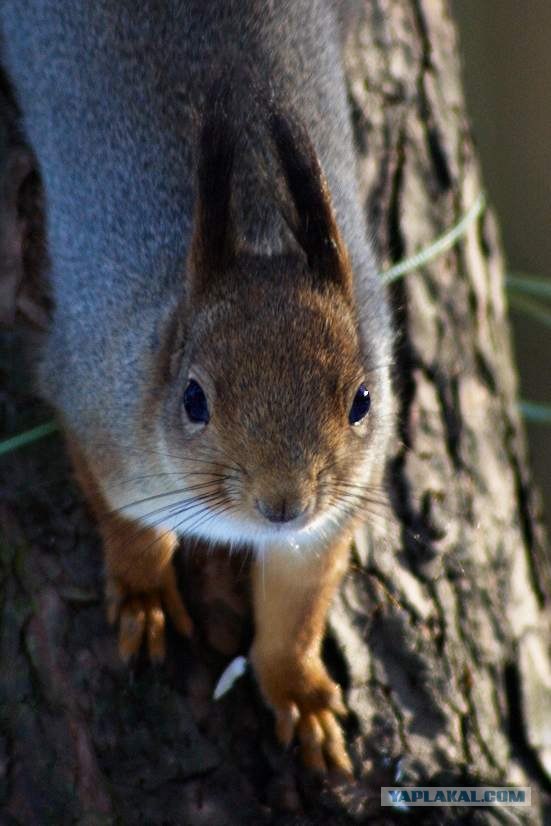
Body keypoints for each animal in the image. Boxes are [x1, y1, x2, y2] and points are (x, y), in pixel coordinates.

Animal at [0, 1, 396, 772]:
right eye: (193, 399)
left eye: (362, 401)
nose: (284, 504)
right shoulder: (98, 417)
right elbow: (130, 527)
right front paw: (144, 594)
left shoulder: (326, 524)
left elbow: (294, 614)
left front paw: (298, 693)